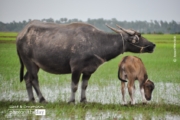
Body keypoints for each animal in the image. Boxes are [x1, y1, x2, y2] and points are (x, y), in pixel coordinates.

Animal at [16, 20, 155, 102]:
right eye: (138, 37)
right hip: (29, 62)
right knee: (34, 79)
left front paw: (83, 100)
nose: (152, 45)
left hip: (34, 64)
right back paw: (42, 99)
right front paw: (71, 101)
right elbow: (74, 86)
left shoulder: (88, 70)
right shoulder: (76, 69)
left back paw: (32, 99)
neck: (97, 42)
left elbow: (84, 85)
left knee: (27, 79)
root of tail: (20, 35)